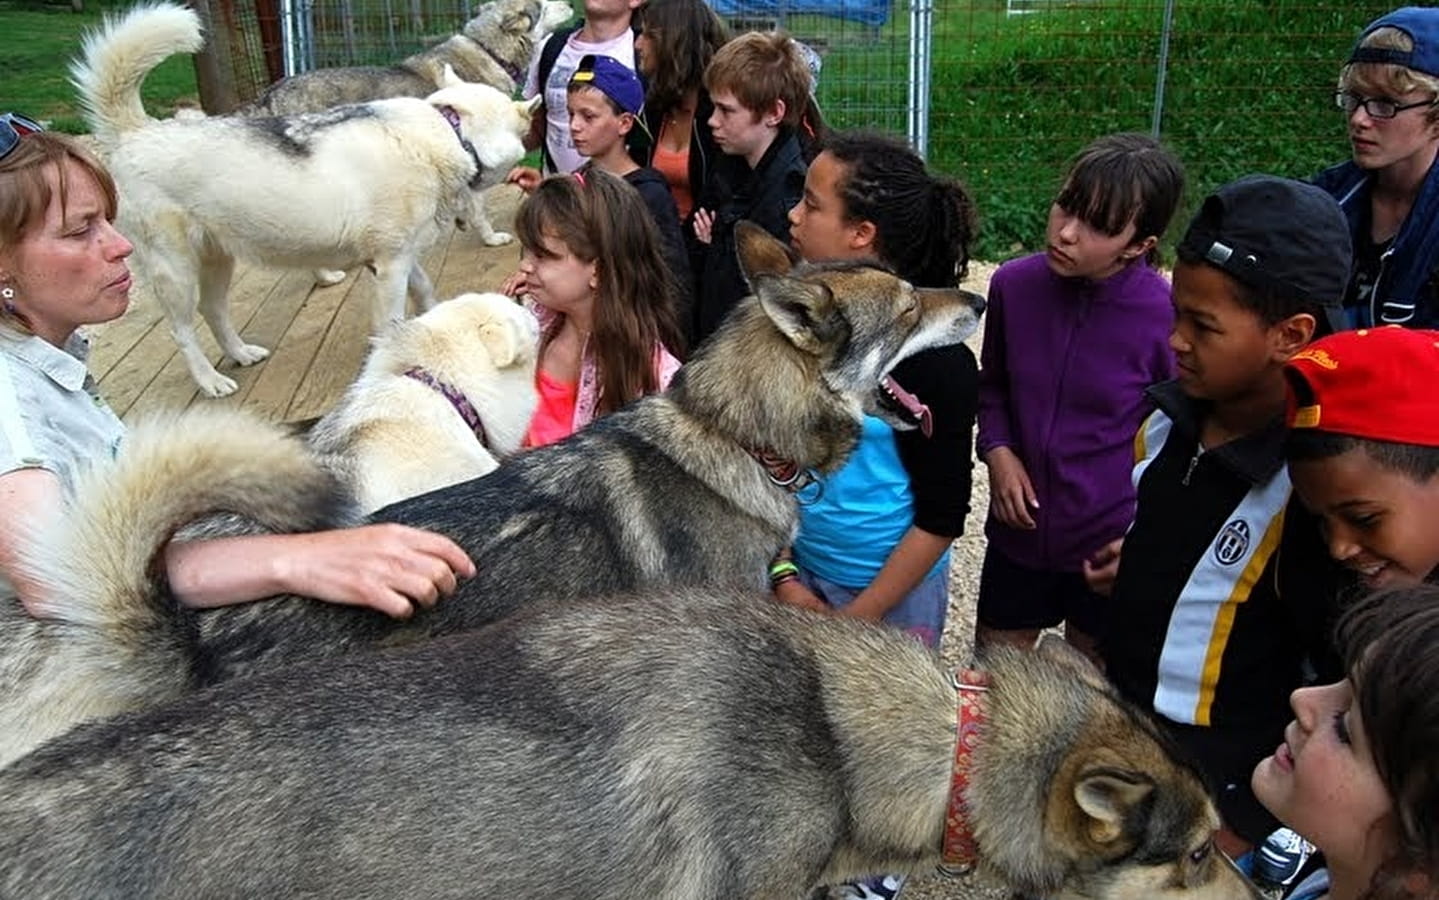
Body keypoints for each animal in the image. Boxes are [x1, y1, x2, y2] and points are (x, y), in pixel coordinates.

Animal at [71, 4, 541, 397]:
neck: (449, 130)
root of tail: (138, 131)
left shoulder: (397, 256)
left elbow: (424, 289)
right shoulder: (390, 265)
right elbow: (392, 319)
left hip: (217, 260)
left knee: (214, 311)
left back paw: (241, 354)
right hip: (176, 271)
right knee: (183, 331)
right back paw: (211, 380)